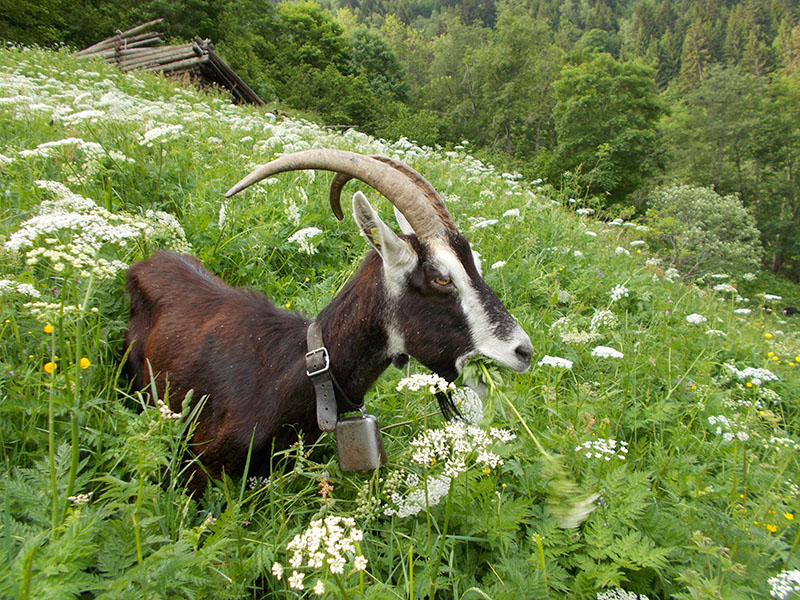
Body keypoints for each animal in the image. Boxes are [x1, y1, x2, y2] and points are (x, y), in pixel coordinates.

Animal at [125, 148, 536, 490]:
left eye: (475, 264)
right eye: (441, 278)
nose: (524, 351)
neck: (288, 372)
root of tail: (147, 261)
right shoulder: (197, 469)